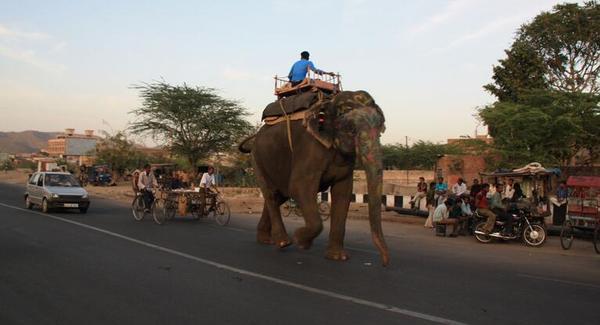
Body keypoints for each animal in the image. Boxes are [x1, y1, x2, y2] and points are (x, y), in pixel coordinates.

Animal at [241, 90, 392, 264]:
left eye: (380, 130)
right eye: (351, 131)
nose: (385, 263)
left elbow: (343, 193)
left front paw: (338, 257)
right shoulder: (309, 148)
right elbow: (299, 187)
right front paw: (301, 241)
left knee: (279, 196)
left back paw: (265, 240)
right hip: (257, 159)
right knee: (272, 195)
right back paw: (284, 242)